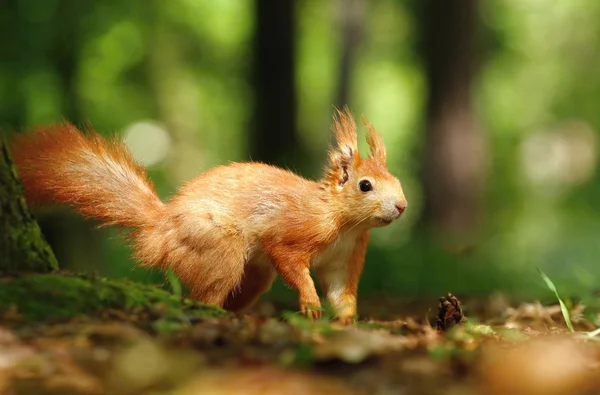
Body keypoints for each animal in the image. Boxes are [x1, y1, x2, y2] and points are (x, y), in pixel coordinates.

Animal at [10, 108, 408, 324]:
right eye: (365, 186)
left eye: (398, 181)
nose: (402, 206)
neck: (345, 225)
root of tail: (159, 230)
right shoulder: (297, 230)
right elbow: (289, 259)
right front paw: (310, 303)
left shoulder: (346, 258)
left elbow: (341, 292)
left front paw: (346, 319)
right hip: (218, 246)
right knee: (205, 295)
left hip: (252, 275)